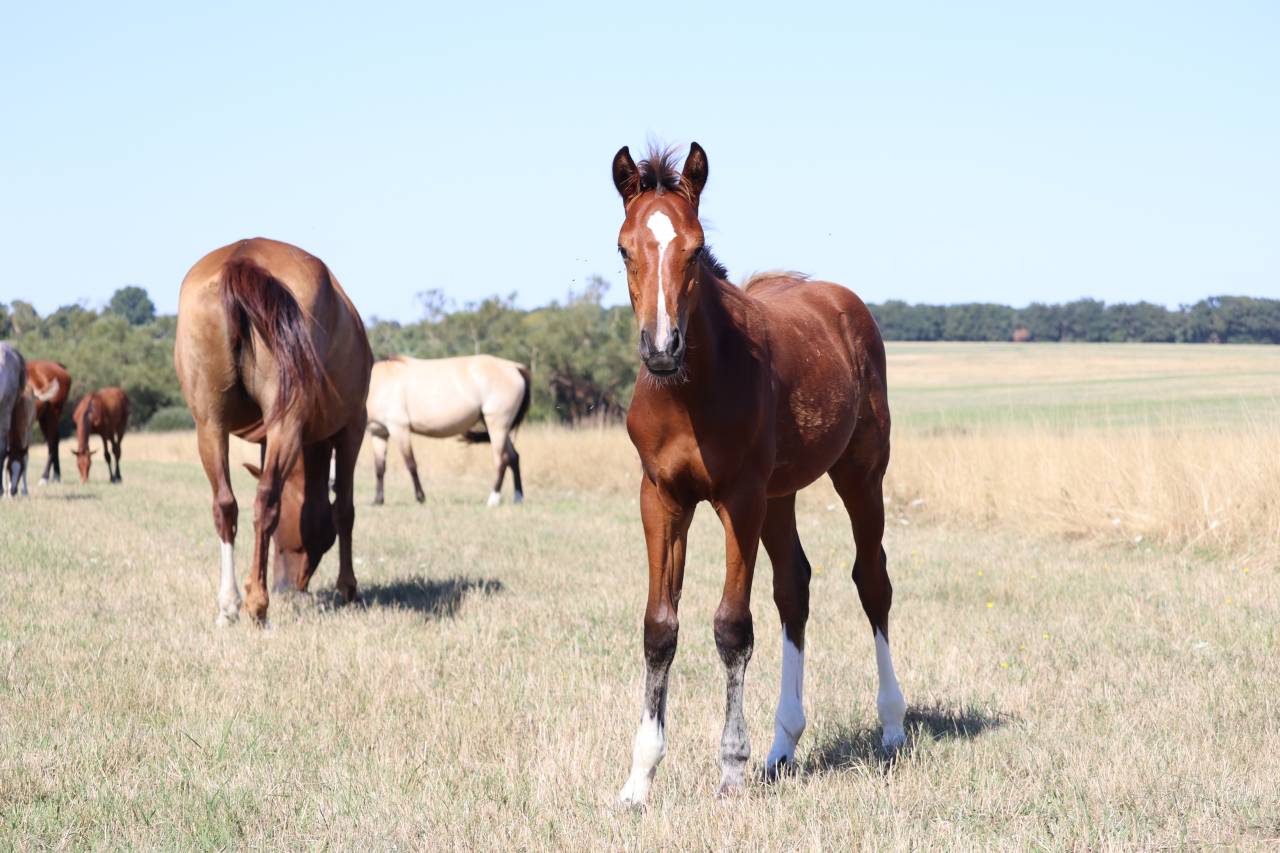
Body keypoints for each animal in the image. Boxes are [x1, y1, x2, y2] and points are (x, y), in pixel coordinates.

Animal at [174, 237, 372, 626]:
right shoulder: (353, 428)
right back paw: (257, 604)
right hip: (287, 422)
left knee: (226, 505)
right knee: (265, 499)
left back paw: (230, 603)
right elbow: (344, 509)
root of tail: (242, 257)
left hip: (210, 424)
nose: (284, 586)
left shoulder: (265, 437)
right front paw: (348, 588)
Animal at [365, 355, 530, 507]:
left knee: (502, 460)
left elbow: (411, 464)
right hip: (501, 428)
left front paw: (420, 497)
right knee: (514, 457)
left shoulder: (399, 428)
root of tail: (515, 367)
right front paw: (378, 500)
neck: (378, 383)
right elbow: (379, 468)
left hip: (497, 425)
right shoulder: (379, 433)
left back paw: (493, 499)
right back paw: (518, 498)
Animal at [610, 143, 906, 805]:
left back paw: (893, 728)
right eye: (623, 247)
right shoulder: (660, 498)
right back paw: (783, 744)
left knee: (872, 580)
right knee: (794, 586)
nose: (662, 349)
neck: (690, 393)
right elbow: (659, 627)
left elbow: (731, 627)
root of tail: (841, 303)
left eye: (695, 248)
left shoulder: (738, 499)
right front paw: (639, 779)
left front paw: (730, 769)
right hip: (781, 495)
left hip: (859, 473)